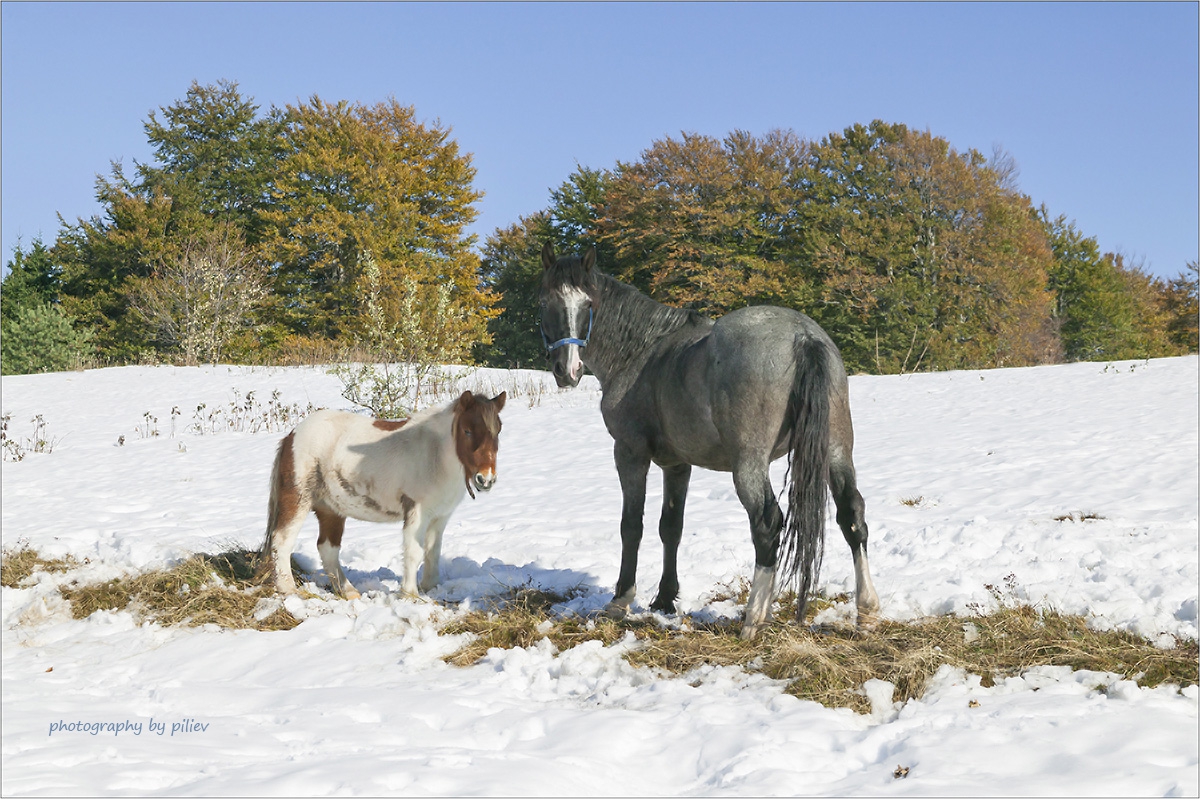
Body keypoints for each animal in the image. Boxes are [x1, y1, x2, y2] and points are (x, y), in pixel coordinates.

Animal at [260, 388, 504, 599]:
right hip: (297, 500)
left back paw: (348, 592)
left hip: (330, 508)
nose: (486, 479)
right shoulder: (417, 513)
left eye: (497, 431)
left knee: (327, 548)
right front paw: (410, 595)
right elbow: (414, 551)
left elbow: (432, 551)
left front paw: (431, 588)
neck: (435, 455)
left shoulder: (440, 516)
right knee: (282, 540)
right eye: (467, 430)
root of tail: (292, 435)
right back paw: (288, 589)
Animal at [544, 239, 883, 638]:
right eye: (548, 302)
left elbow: (632, 526)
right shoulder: (677, 464)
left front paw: (620, 600)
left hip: (749, 463)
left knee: (768, 522)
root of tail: (803, 337)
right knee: (852, 515)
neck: (642, 351)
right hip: (836, 450)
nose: (567, 370)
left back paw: (754, 617)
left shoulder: (629, 453)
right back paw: (866, 611)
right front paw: (664, 599)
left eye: (588, 304)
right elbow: (670, 527)